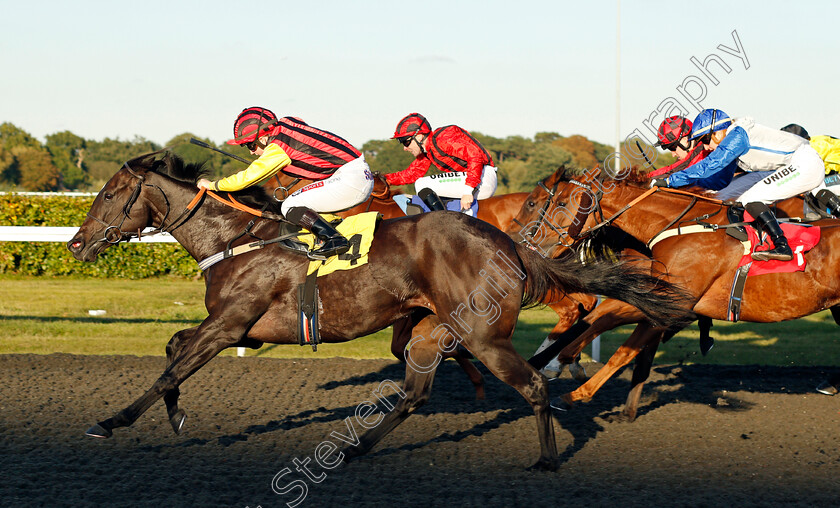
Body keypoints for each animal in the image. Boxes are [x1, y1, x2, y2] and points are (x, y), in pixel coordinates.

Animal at [65, 153, 692, 470]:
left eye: (108, 196)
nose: (75, 244)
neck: (235, 239)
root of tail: (510, 245)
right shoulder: (237, 327)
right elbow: (173, 350)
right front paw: (176, 417)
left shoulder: (230, 324)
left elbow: (169, 366)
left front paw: (111, 422)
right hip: (430, 332)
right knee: (414, 394)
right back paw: (358, 448)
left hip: (484, 336)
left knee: (534, 385)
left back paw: (547, 459)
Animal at [506, 165, 840, 414]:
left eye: (558, 203)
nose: (524, 242)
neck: (677, 226)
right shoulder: (656, 297)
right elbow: (600, 322)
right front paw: (555, 366)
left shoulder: (675, 305)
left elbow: (621, 348)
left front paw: (571, 383)